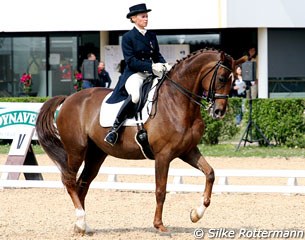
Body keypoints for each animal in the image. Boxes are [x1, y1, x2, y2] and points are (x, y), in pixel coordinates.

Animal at [35, 48, 245, 234]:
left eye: (234, 80)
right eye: (222, 78)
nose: (219, 112)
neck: (178, 101)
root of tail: (69, 98)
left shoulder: (188, 151)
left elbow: (210, 173)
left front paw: (196, 214)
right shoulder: (163, 155)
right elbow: (161, 190)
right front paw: (159, 225)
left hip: (96, 154)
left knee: (82, 184)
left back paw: (82, 226)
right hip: (76, 150)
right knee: (69, 181)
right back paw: (80, 220)